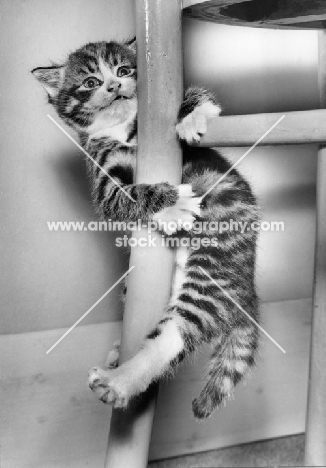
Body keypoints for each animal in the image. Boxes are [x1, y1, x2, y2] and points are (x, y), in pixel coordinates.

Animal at [33, 37, 260, 416]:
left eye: (124, 70)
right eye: (91, 82)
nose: (114, 86)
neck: (123, 130)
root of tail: (248, 292)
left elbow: (195, 97)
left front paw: (192, 114)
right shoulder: (103, 175)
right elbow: (129, 195)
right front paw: (171, 205)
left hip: (212, 270)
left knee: (175, 334)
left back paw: (119, 379)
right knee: (171, 338)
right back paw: (117, 372)